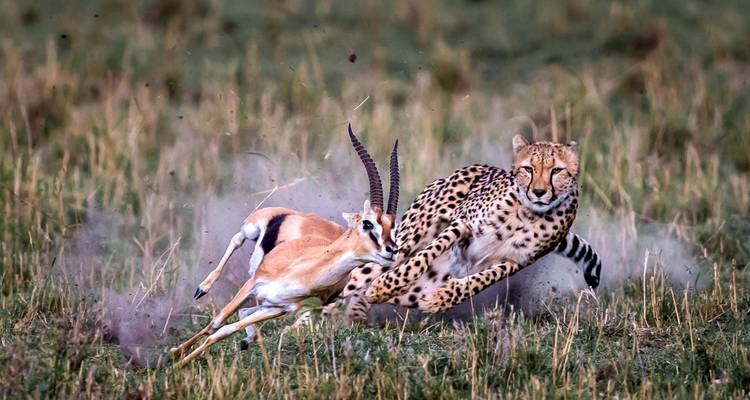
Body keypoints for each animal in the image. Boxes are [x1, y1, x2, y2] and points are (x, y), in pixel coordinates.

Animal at [170, 124, 400, 366]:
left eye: (394, 229)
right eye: (368, 223)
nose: (391, 251)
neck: (303, 272)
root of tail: (303, 215)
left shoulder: (278, 308)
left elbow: (225, 329)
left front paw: (180, 359)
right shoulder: (253, 283)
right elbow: (216, 323)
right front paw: (176, 356)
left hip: (263, 301)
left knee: (245, 312)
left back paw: (246, 340)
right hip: (252, 229)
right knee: (237, 239)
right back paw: (202, 289)